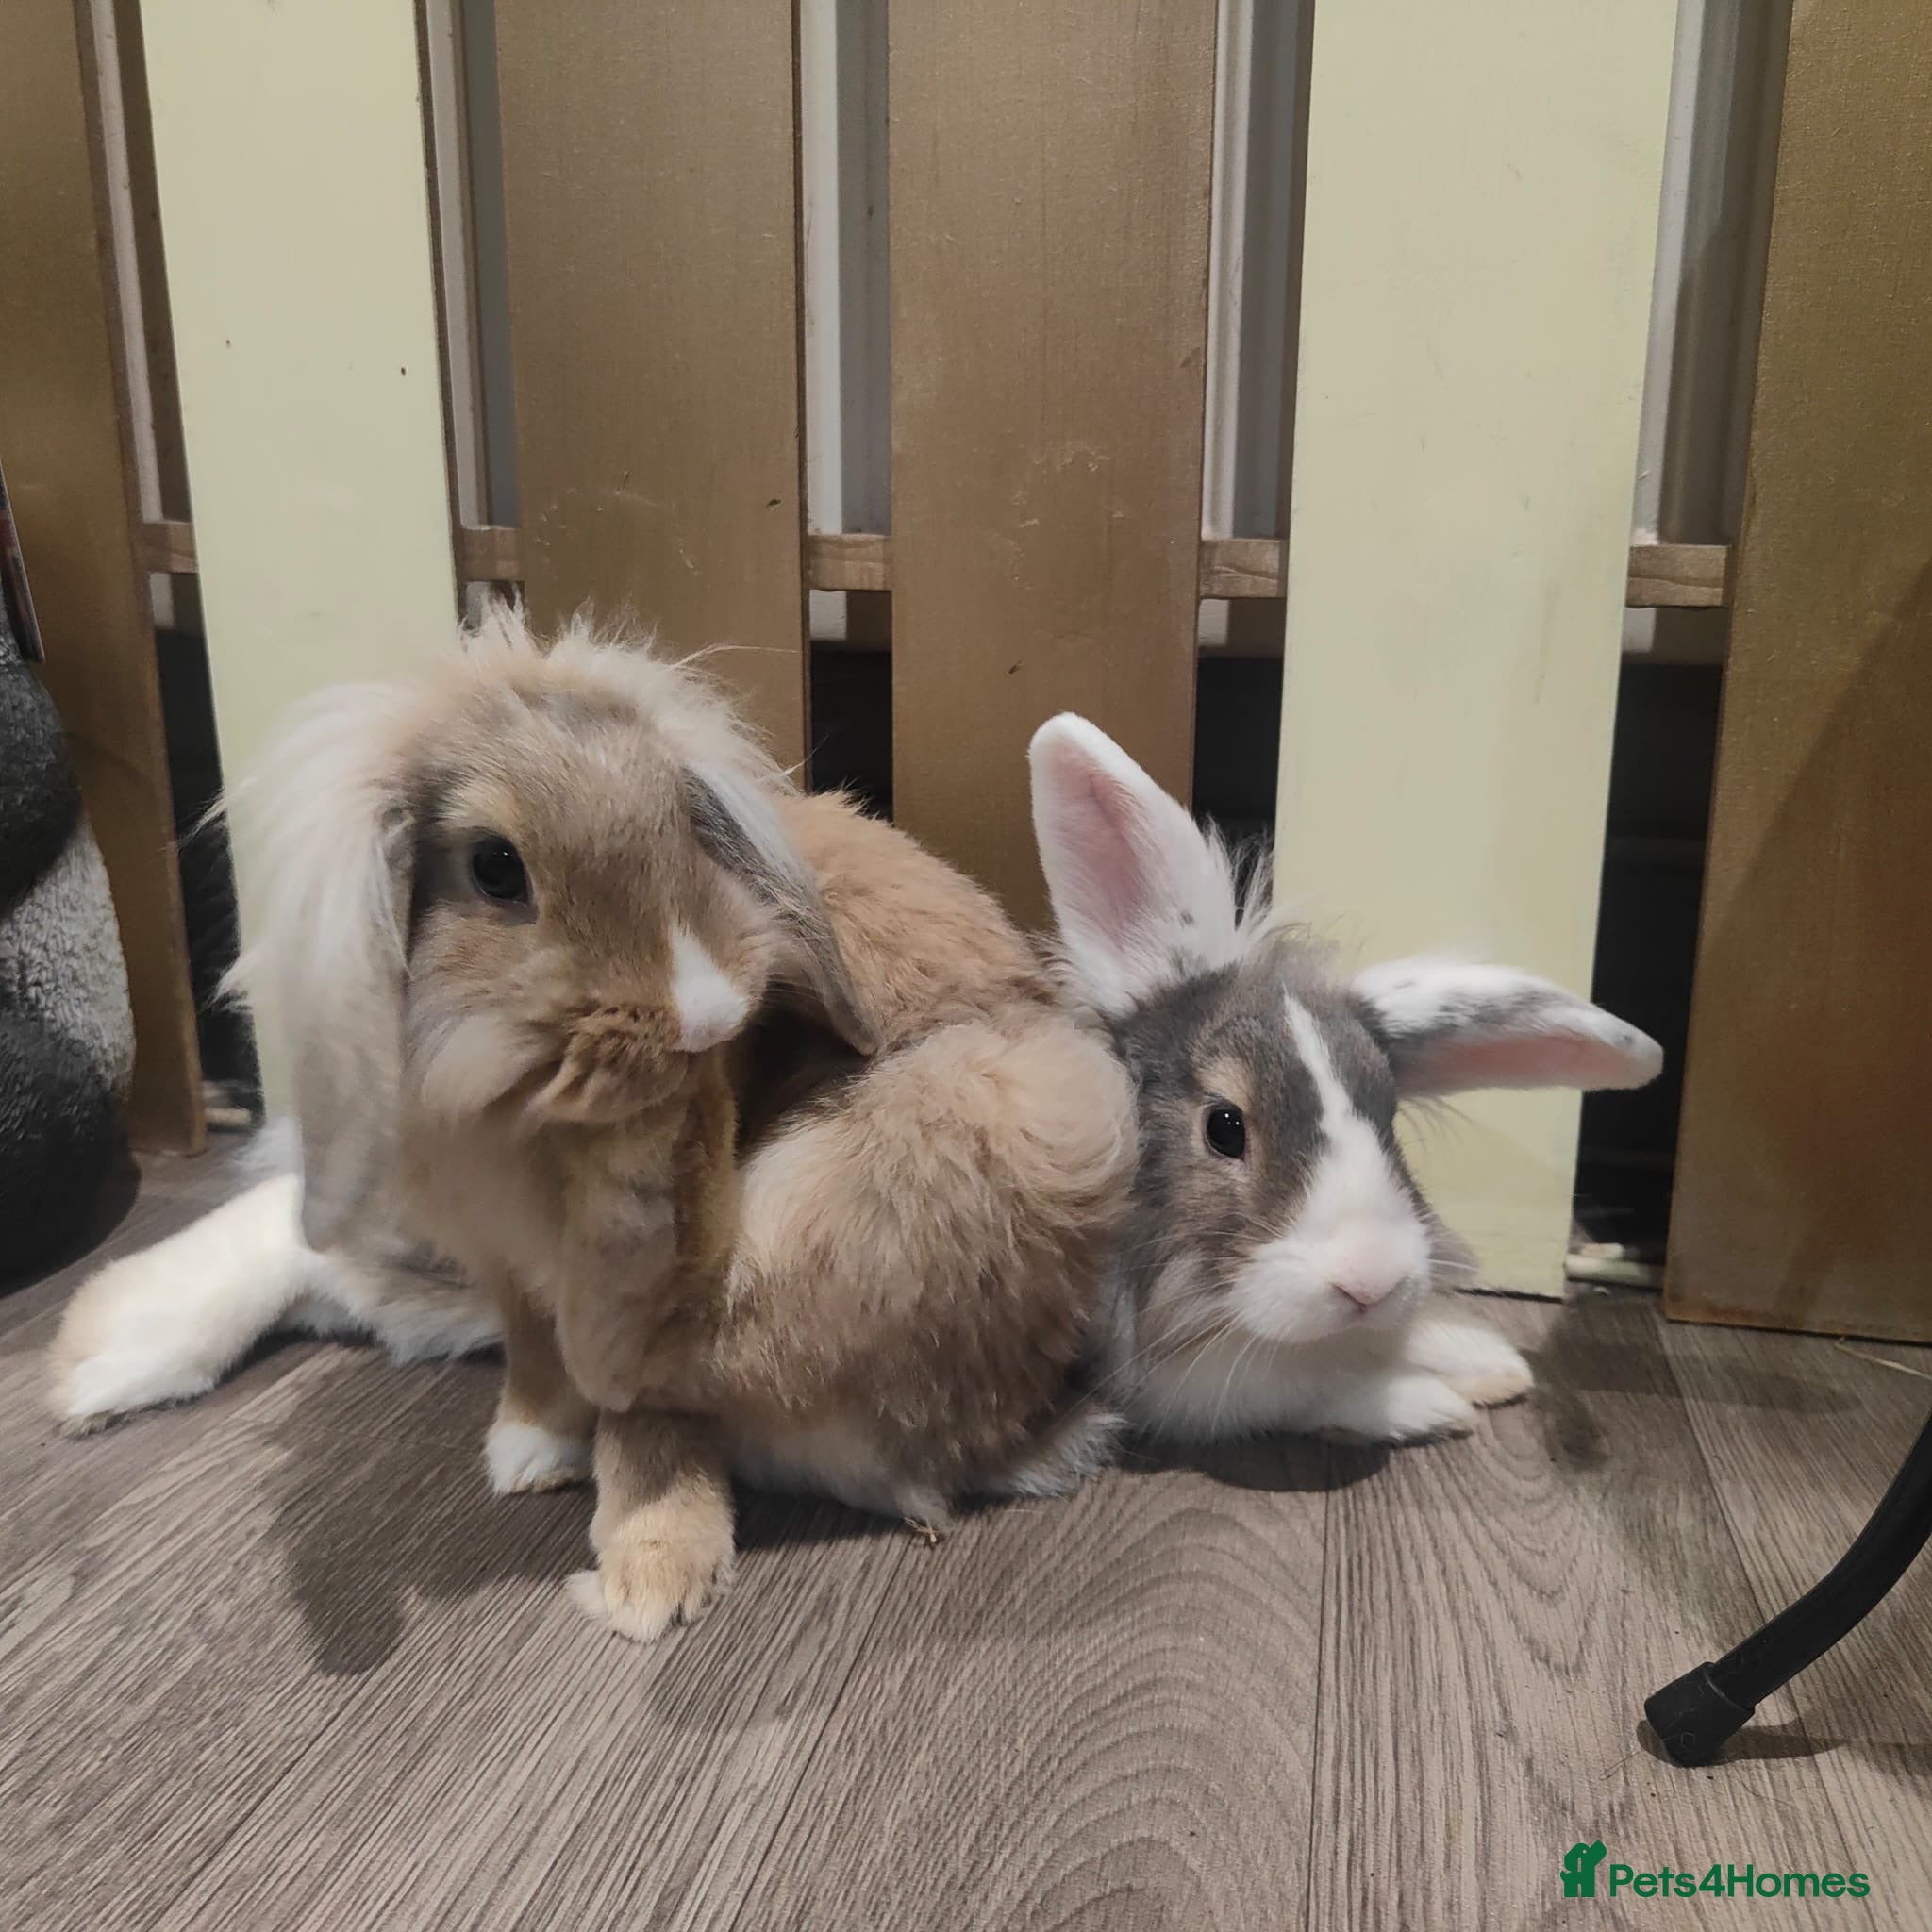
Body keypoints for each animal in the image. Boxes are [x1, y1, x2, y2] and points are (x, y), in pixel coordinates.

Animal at [51, 608, 1137, 1641]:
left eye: (681, 830)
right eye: (494, 867)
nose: (708, 1017)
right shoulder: (502, 1257)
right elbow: (535, 1349)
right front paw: (529, 1446)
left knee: (682, 1387)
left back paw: (648, 1574)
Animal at [1027, 712, 1665, 1446]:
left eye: (1388, 1118)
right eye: (1224, 1127)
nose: (1372, 1281)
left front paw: (1488, 1361)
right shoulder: (1181, 1391)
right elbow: (1303, 1384)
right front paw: (1429, 1401)